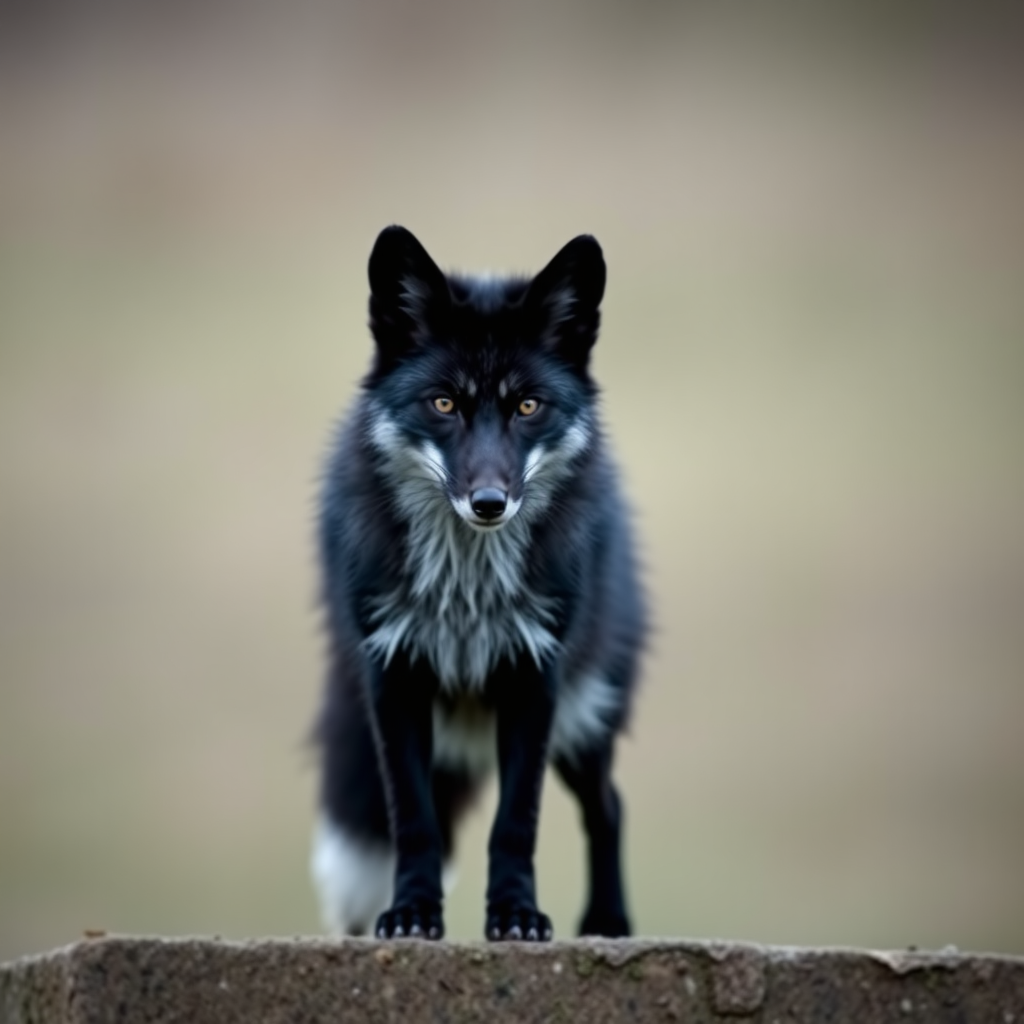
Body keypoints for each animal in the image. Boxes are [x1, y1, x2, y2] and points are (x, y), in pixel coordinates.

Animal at [311, 228, 647, 937]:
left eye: (528, 406)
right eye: (444, 403)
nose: (489, 503)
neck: (466, 596)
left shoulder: (535, 677)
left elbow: (515, 823)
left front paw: (516, 915)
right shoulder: (392, 677)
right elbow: (414, 821)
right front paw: (412, 913)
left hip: (585, 716)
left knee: (608, 807)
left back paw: (607, 921)